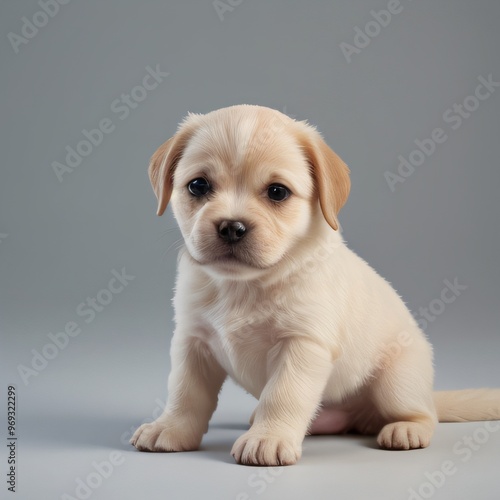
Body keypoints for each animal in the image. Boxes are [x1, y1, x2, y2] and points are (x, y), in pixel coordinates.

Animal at [132, 104, 500, 464]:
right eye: (198, 186)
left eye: (277, 192)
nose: (232, 227)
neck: (244, 286)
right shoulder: (192, 342)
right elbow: (185, 392)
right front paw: (170, 428)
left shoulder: (302, 344)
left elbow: (283, 395)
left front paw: (268, 438)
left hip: (396, 382)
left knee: (425, 414)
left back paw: (408, 429)